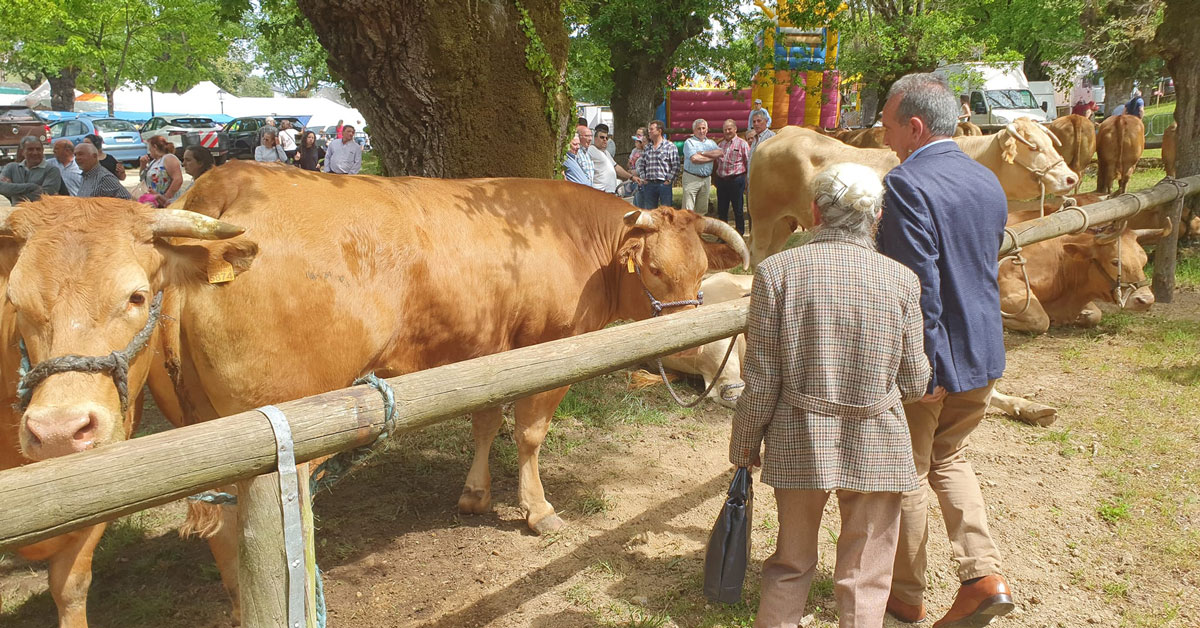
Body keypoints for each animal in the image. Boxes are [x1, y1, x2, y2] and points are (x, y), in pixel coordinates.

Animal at [0, 169, 748, 624]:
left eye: (702, 269)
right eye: (656, 270)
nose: (689, 351)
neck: (573, 240)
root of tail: (225, 186)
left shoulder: (487, 354)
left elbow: (484, 421)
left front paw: (475, 495)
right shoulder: (548, 350)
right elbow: (529, 434)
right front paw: (538, 511)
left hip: (206, 431)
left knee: (226, 533)